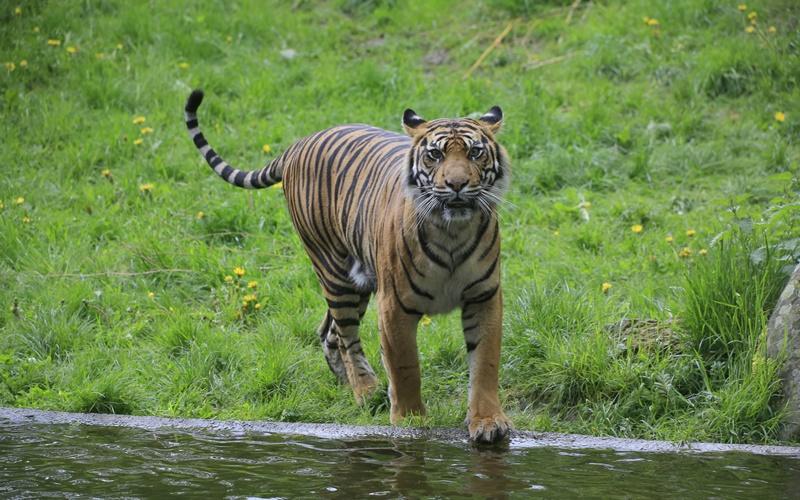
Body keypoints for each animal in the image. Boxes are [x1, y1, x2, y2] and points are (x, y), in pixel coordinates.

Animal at [184, 89, 512, 443]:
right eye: (434, 155)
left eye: (475, 152)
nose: (457, 184)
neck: (453, 231)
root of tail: (296, 145)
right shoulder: (394, 305)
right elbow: (405, 364)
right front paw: (410, 422)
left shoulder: (483, 296)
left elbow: (485, 363)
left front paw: (488, 422)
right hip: (335, 272)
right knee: (345, 335)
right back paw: (366, 391)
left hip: (360, 282)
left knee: (328, 332)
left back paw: (352, 385)